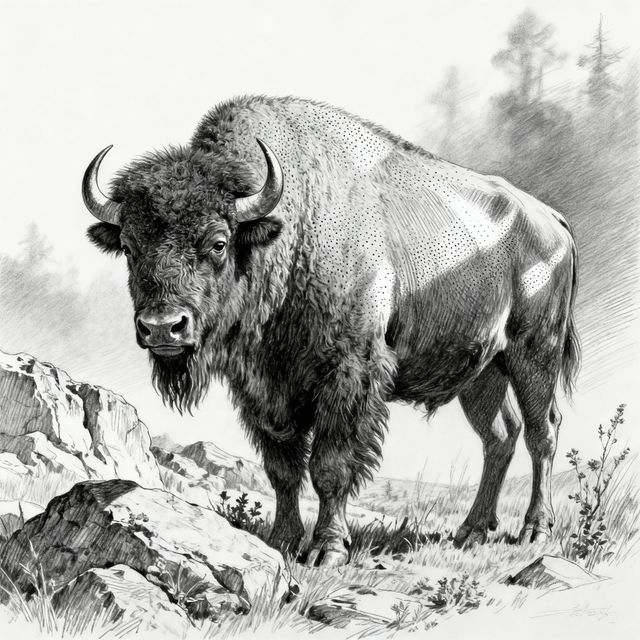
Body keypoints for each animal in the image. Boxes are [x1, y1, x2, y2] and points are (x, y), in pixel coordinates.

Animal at [83, 95, 579, 566]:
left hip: (535, 353)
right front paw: (282, 540)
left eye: (218, 243)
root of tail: (553, 220)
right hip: (482, 372)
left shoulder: (350, 373)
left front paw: (327, 549)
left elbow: (330, 466)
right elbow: (283, 469)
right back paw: (472, 530)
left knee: (542, 432)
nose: (162, 327)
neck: (290, 229)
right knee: (500, 436)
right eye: (129, 247)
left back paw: (536, 529)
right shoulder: (263, 388)